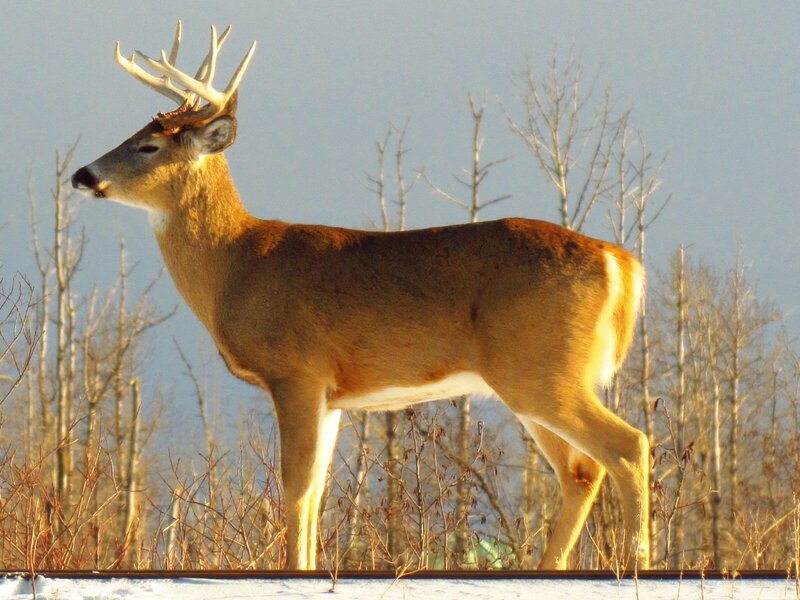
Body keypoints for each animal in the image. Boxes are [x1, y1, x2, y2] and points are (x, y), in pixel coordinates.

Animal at [71, 22, 651, 571]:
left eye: (149, 146)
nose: (82, 174)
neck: (237, 264)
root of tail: (620, 262)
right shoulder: (333, 393)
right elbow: (318, 489)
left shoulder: (297, 371)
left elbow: (296, 485)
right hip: (529, 377)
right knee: (582, 470)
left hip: (540, 368)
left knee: (627, 446)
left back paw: (638, 563)